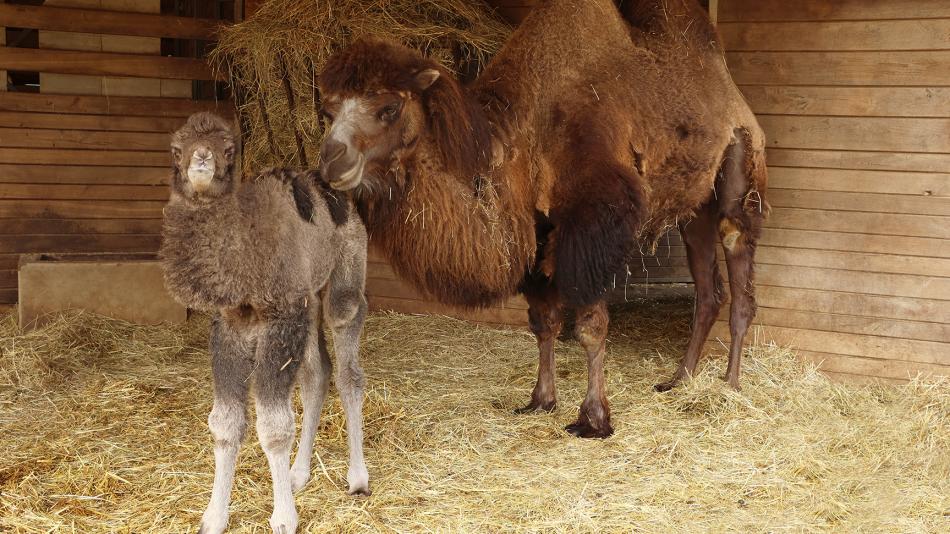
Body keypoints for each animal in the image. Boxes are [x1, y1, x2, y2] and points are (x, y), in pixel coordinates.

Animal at [160, 113, 368, 534]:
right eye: (175, 150)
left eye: (229, 149)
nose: (201, 159)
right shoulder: (231, 328)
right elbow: (225, 423)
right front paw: (214, 517)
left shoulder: (281, 320)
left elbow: (273, 428)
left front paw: (284, 517)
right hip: (308, 303)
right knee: (317, 375)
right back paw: (298, 474)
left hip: (345, 277)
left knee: (348, 370)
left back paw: (357, 478)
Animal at [316, 0, 768, 440]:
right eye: (328, 110)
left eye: (389, 107)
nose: (331, 159)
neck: (524, 138)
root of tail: (733, 96)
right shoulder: (536, 233)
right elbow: (543, 323)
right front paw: (540, 400)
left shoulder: (593, 226)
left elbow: (590, 326)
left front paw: (594, 419)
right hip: (695, 210)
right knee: (708, 289)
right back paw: (679, 380)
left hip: (741, 166)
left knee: (739, 267)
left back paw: (730, 386)